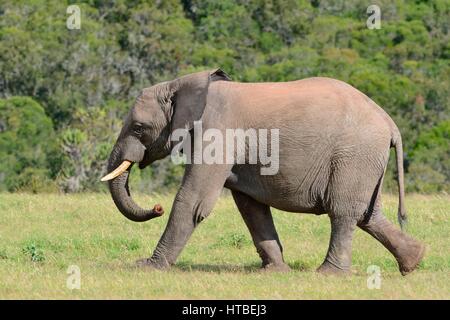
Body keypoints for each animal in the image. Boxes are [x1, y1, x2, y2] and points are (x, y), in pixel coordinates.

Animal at [102, 69, 426, 276]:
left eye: (138, 128)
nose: (156, 207)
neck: (182, 83)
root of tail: (390, 123)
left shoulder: (218, 131)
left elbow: (194, 200)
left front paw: (148, 267)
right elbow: (251, 207)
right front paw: (275, 271)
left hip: (354, 156)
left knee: (343, 212)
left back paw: (328, 274)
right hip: (365, 161)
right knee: (368, 215)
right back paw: (413, 262)